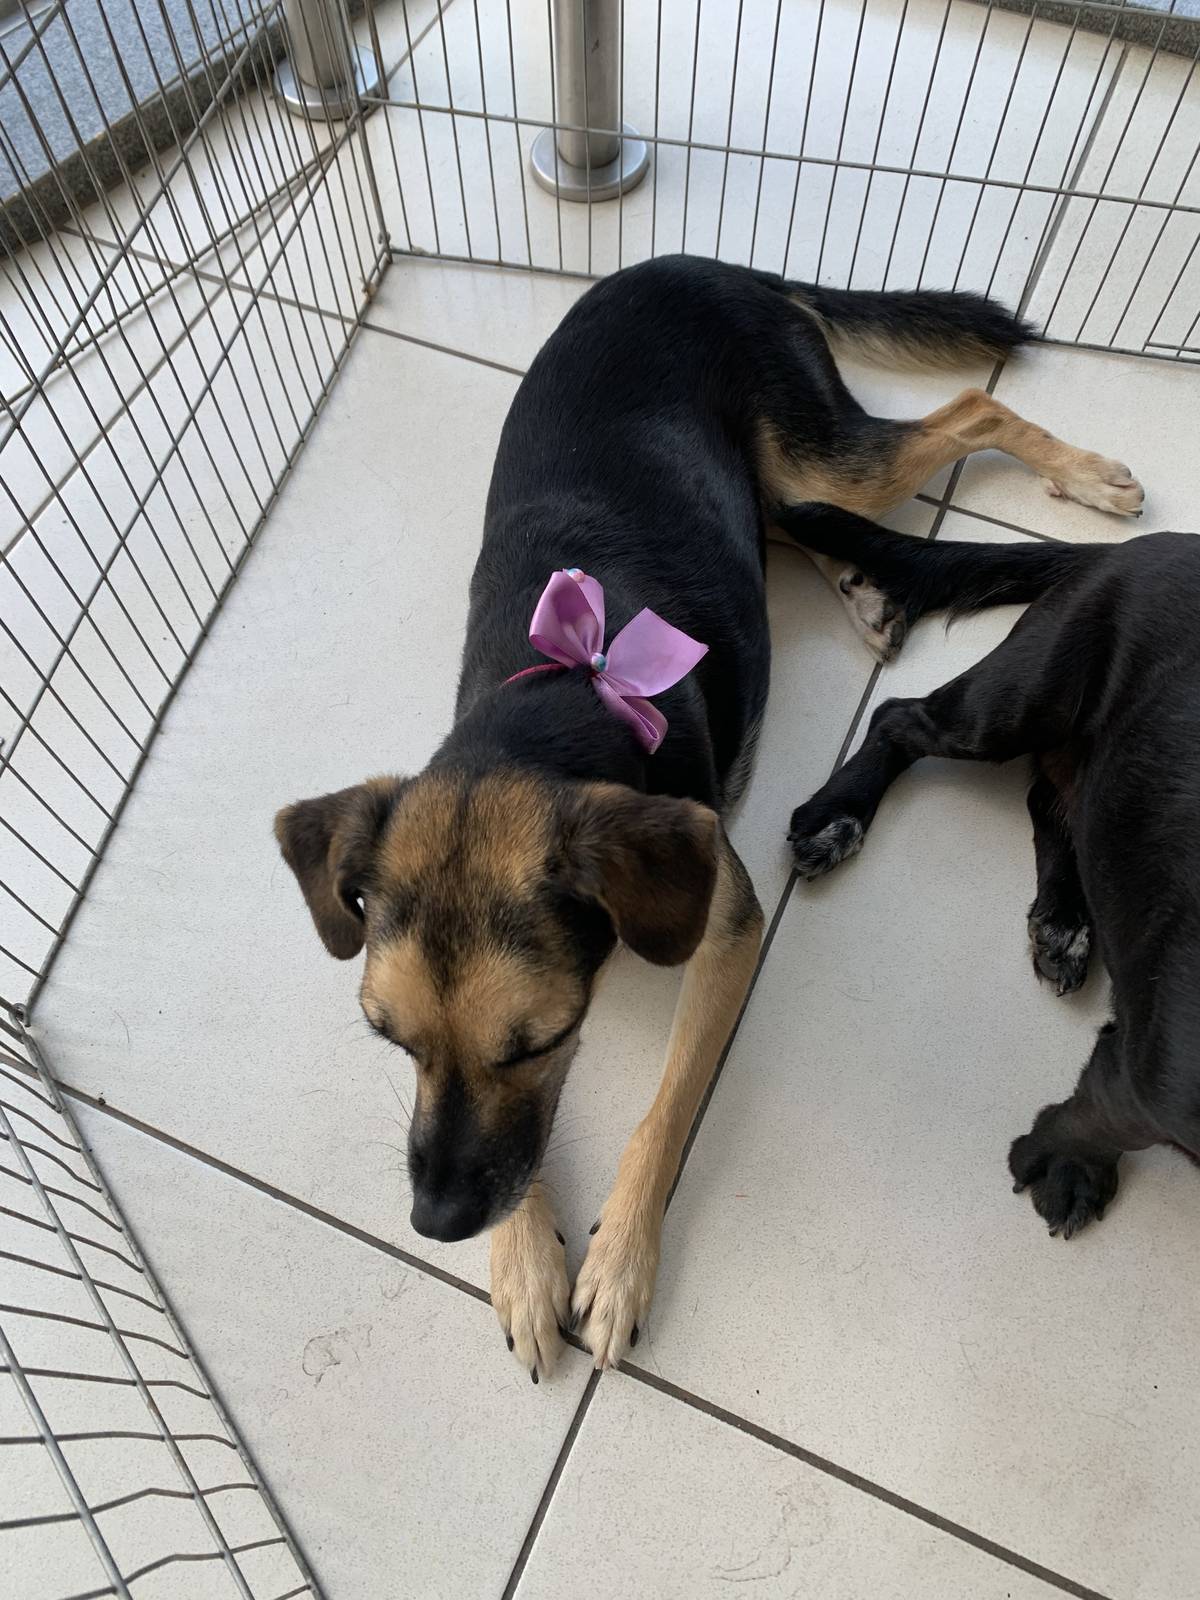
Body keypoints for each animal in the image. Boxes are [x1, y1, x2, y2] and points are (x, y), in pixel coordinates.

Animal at [274, 255, 1143, 1377]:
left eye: (541, 1039)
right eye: (391, 1041)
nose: (438, 1225)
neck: (553, 703)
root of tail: (713, 264)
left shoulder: (725, 928)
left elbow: (668, 1107)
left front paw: (616, 1267)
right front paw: (524, 1263)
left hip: (828, 455)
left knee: (969, 410)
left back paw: (1085, 476)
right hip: (779, 478)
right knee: (780, 512)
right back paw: (865, 587)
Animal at [787, 508, 1200, 1239]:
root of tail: (1130, 548)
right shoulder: (1144, 1076)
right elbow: (1100, 1119)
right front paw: (1063, 1166)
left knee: (1051, 799)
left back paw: (1064, 923)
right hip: (1021, 698)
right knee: (899, 718)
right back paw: (838, 816)